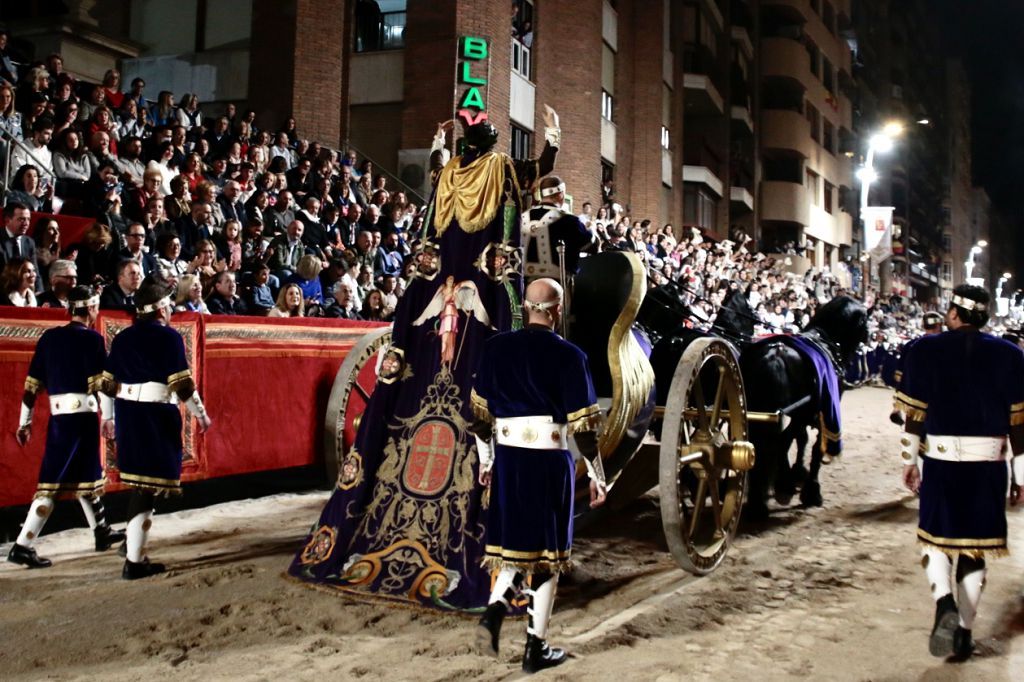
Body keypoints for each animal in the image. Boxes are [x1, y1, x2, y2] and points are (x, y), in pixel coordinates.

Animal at [741, 294, 868, 518]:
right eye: (866, 321)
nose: (869, 337)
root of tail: (775, 353)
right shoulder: (821, 410)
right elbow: (815, 447)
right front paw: (810, 489)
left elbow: (801, 440)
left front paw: (797, 474)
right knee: (780, 441)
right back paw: (781, 487)